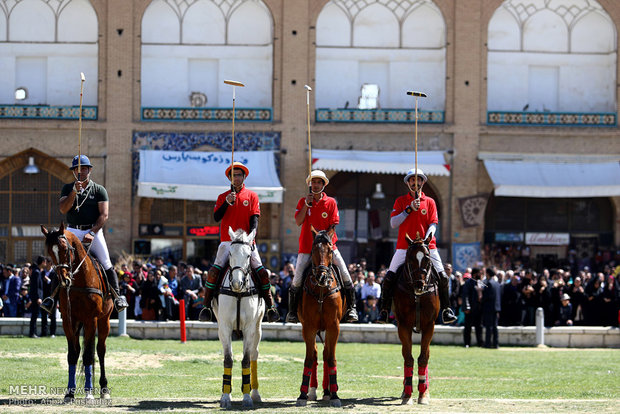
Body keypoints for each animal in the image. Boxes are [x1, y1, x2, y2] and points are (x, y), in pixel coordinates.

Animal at [41, 222, 112, 402]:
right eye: (49, 252)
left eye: (65, 249)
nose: (64, 280)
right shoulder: (69, 320)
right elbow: (72, 354)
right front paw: (69, 392)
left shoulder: (91, 319)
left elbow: (88, 355)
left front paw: (89, 393)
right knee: (81, 350)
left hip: (104, 321)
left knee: (100, 350)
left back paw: (104, 389)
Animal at [212, 228, 266, 410]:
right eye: (230, 253)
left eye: (248, 255)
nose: (237, 282)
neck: (238, 293)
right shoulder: (225, 327)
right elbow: (228, 359)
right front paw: (225, 397)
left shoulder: (249, 328)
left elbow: (246, 360)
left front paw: (247, 398)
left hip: (257, 328)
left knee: (253, 354)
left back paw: (254, 392)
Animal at [296, 228, 344, 410]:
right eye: (313, 251)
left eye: (330, 251)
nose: (322, 277)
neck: (322, 290)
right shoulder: (308, 327)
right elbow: (309, 358)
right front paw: (302, 394)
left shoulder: (333, 326)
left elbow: (331, 358)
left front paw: (335, 394)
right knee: (316, 354)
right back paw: (313, 391)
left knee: (325, 353)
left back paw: (327, 391)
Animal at [394, 234, 438, 406]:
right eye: (410, 259)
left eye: (427, 259)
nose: (420, 284)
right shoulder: (403, 326)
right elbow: (408, 358)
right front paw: (407, 394)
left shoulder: (429, 326)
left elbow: (423, 358)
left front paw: (423, 394)